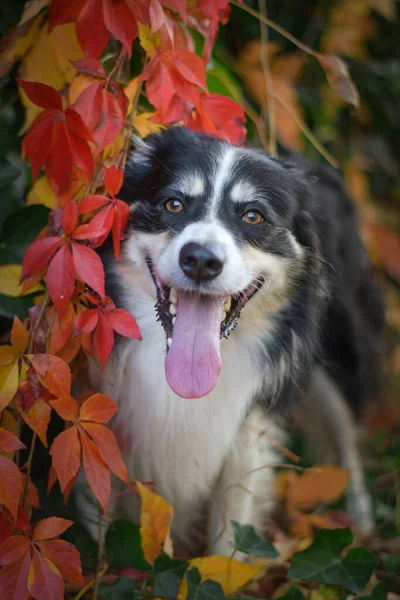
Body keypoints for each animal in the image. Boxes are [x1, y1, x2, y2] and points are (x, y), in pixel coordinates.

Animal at [75, 127, 384, 556]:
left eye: (253, 215)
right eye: (173, 204)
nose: (201, 260)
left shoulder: (249, 431)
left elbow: (229, 541)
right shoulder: (95, 420)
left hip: (344, 350)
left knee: (347, 438)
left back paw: (361, 526)